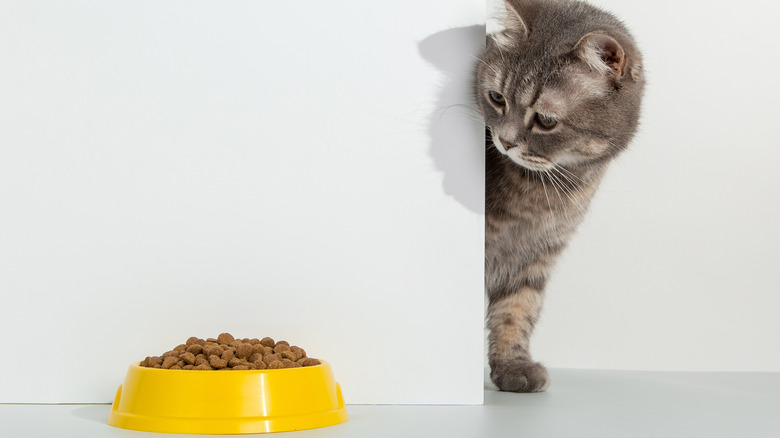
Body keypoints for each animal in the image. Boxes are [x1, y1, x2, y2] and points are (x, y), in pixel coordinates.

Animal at [476, 0, 644, 392]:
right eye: (497, 98)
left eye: (547, 121)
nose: (504, 141)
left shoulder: (535, 255)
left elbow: (518, 310)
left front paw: (513, 365)